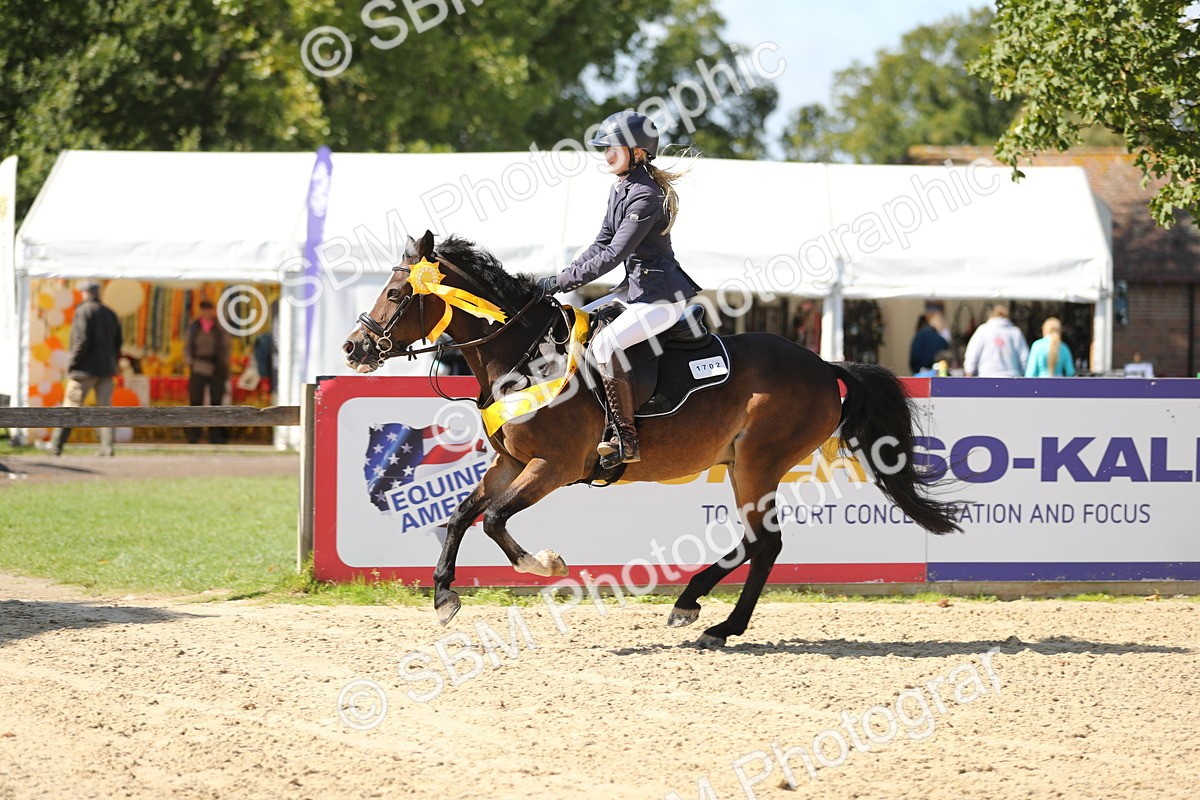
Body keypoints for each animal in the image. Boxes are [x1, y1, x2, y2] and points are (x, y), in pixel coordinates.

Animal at [343, 231, 960, 647]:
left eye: (396, 294)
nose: (354, 348)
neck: (526, 357)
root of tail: (823, 365)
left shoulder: (552, 467)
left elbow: (493, 520)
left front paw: (543, 564)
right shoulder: (509, 465)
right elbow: (459, 517)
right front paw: (445, 595)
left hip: (758, 462)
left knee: (766, 543)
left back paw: (718, 624)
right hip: (742, 466)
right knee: (758, 542)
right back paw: (694, 606)